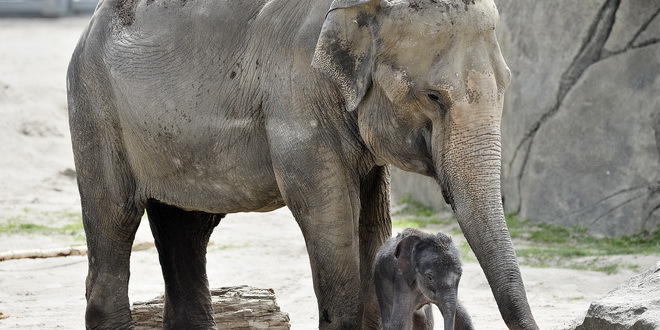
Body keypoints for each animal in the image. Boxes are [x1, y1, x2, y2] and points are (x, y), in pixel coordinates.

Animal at [67, 0, 540, 328]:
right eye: (433, 97)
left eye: (507, 84)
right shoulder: (296, 102)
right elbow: (328, 216)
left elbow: (373, 221)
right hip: (94, 108)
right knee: (113, 220)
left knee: (185, 230)